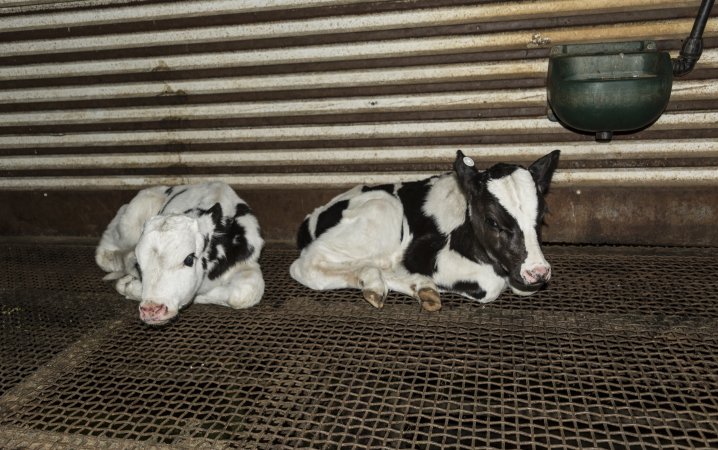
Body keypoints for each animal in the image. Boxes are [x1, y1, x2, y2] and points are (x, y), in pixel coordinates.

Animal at [292, 149, 564, 312]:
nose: (538, 272)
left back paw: (417, 287)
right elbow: (490, 284)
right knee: (305, 266)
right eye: (493, 221)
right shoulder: (425, 253)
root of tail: (312, 215)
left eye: (542, 216)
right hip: (382, 210)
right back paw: (375, 281)